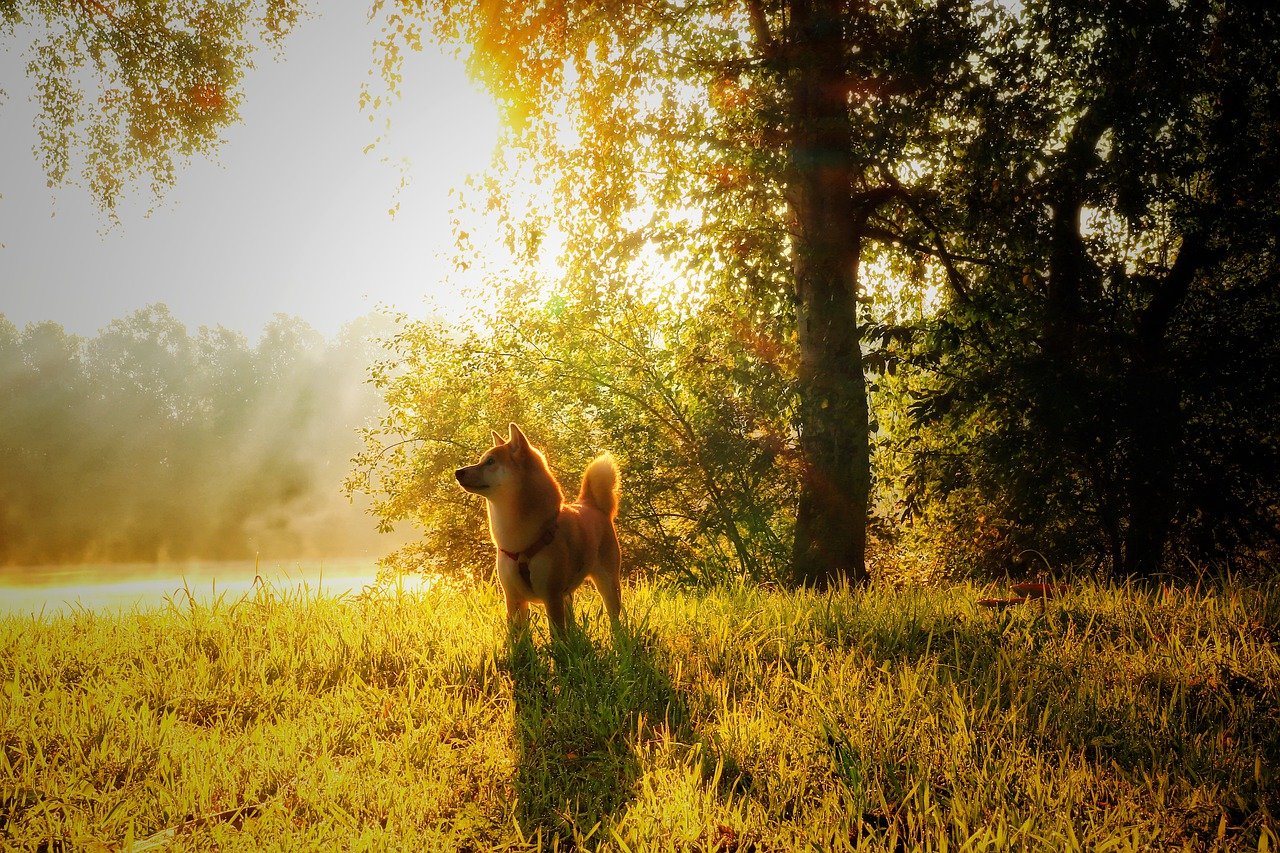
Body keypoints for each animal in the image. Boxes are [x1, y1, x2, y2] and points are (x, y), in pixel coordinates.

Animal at [458, 422, 622, 630]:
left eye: (490, 461)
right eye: (481, 460)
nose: (458, 472)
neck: (518, 543)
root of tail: (591, 504)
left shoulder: (551, 596)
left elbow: (557, 633)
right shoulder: (513, 598)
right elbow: (517, 635)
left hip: (608, 583)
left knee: (614, 614)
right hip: (566, 593)